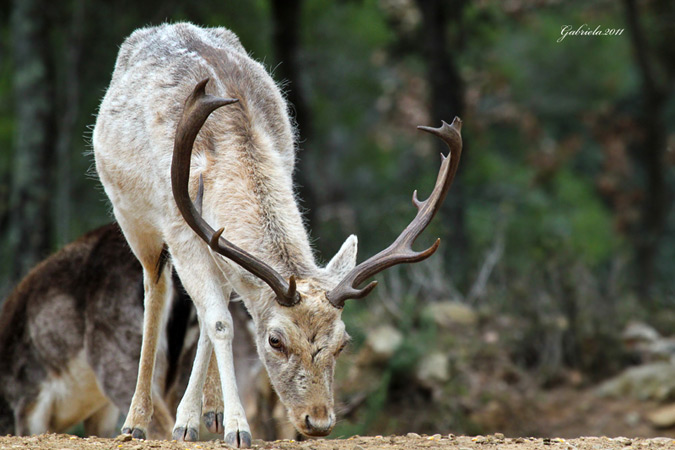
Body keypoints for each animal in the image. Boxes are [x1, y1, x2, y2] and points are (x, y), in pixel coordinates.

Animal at [93, 22, 464, 446]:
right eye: (275, 340)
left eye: (343, 342)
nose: (318, 421)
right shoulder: (180, 229)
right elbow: (220, 322)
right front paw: (237, 428)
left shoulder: (220, 240)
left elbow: (212, 317)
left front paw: (198, 419)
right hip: (132, 219)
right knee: (155, 293)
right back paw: (136, 420)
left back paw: (207, 411)